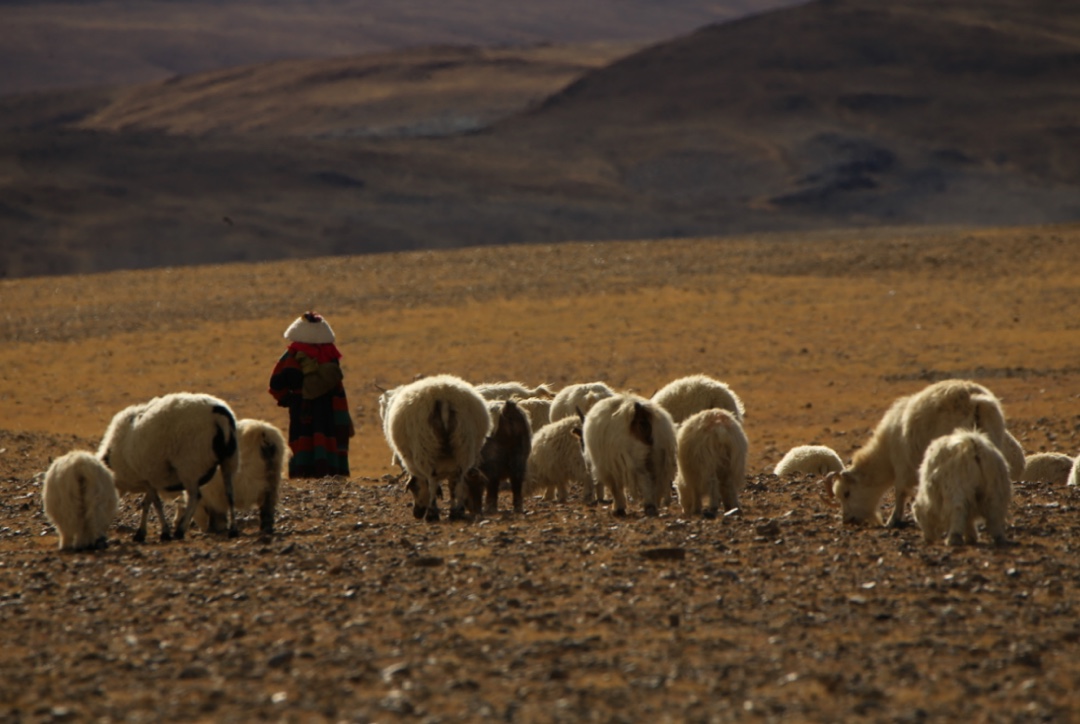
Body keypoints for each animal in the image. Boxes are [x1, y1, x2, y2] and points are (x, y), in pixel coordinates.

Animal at [98, 393, 239, 542]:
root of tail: (218, 415)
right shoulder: (151, 480)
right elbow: (147, 503)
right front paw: (141, 533)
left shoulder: (146, 478)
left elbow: (155, 504)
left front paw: (164, 532)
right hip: (229, 460)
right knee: (229, 493)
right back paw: (233, 530)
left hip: (190, 466)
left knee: (195, 496)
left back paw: (180, 530)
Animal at [384, 373, 494, 523]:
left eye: (413, 488)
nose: (416, 514)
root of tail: (442, 397)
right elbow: (451, 484)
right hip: (463, 443)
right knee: (458, 480)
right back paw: (457, 512)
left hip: (425, 446)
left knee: (432, 480)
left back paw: (432, 514)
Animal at [820, 380, 1006, 527]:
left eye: (847, 493)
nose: (847, 520)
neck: (886, 454)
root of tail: (973, 399)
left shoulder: (902, 466)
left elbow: (900, 491)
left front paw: (893, 520)